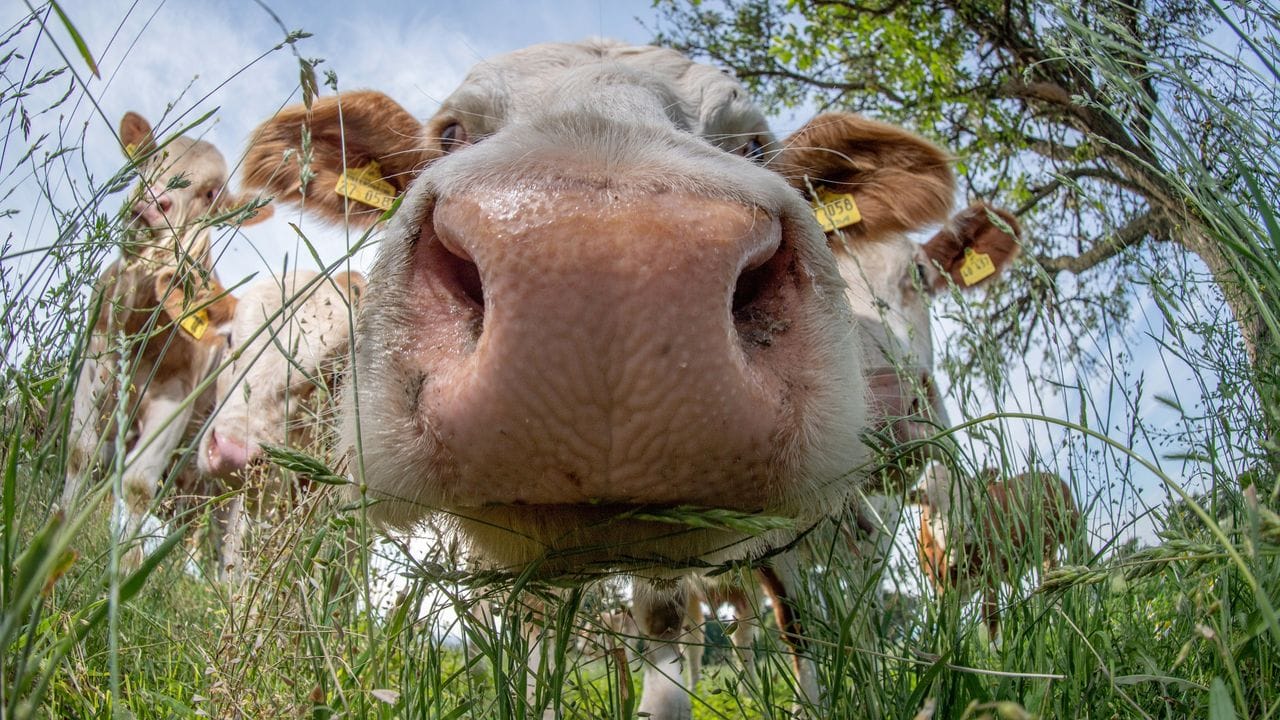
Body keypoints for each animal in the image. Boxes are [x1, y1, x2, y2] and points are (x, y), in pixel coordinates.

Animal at [63, 110, 268, 566]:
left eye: (209, 193)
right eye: (152, 157)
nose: (152, 202)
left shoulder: (175, 398)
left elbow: (137, 486)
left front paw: (124, 564)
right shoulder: (94, 361)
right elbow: (80, 455)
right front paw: (56, 529)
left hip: (233, 474)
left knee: (228, 542)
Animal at [911, 458, 1080, 632]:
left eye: (970, 494)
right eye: (926, 501)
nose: (960, 531)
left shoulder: (991, 572)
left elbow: (990, 617)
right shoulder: (943, 590)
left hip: (1072, 526)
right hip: (1047, 551)